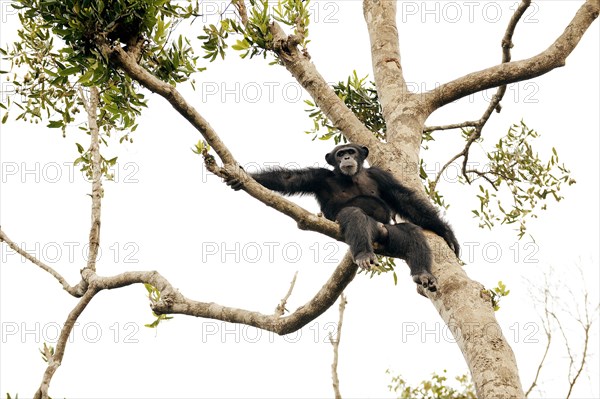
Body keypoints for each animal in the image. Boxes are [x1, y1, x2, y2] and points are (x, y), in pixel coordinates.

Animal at [225, 145, 460, 292]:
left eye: (351, 151)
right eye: (340, 154)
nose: (346, 158)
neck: (352, 177)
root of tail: (380, 231)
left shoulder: (381, 175)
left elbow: (405, 199)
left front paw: (447, 233)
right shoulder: (318, 176)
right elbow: (289, 179)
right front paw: (245, 177)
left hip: (389, 233)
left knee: (412, 231)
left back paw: (423, 274)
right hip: (370, 229)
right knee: (354, 215)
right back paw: (364, 254)